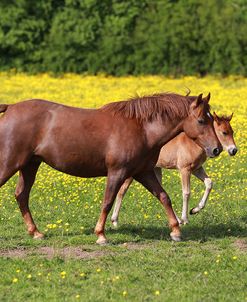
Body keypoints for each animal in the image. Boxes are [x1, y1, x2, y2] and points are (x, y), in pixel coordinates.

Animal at [0, 91, 221, 243]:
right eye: (202, 120)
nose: (216, 149)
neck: (141, 128)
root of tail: (10, 108)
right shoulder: (117, 172)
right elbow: (107, 201)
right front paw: (101, 235)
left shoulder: (144, 172)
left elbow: (164, 196)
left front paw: (175, 231)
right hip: (10, 164)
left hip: (29, 165)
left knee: (21, 195)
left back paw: (35, 232)